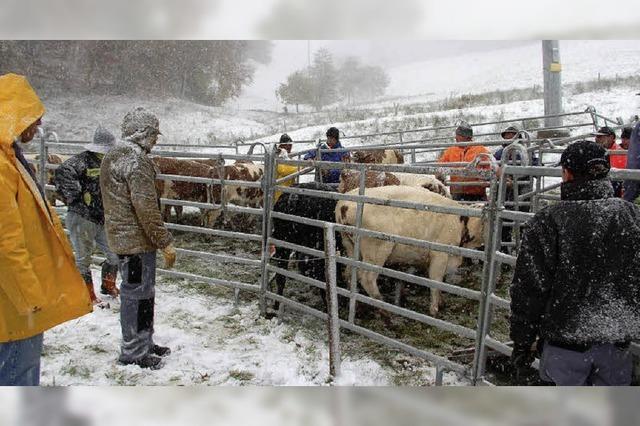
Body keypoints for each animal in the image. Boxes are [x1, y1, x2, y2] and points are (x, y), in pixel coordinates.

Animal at [338, 186, 482, 316]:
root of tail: (344, 205)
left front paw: (441, 302)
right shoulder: (440, 254)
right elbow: (436, 281)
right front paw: (434, 310)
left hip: (350, 247)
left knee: (349, 273)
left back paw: (356, 305)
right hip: (376, 251)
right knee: (367, 277)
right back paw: (384, 309)